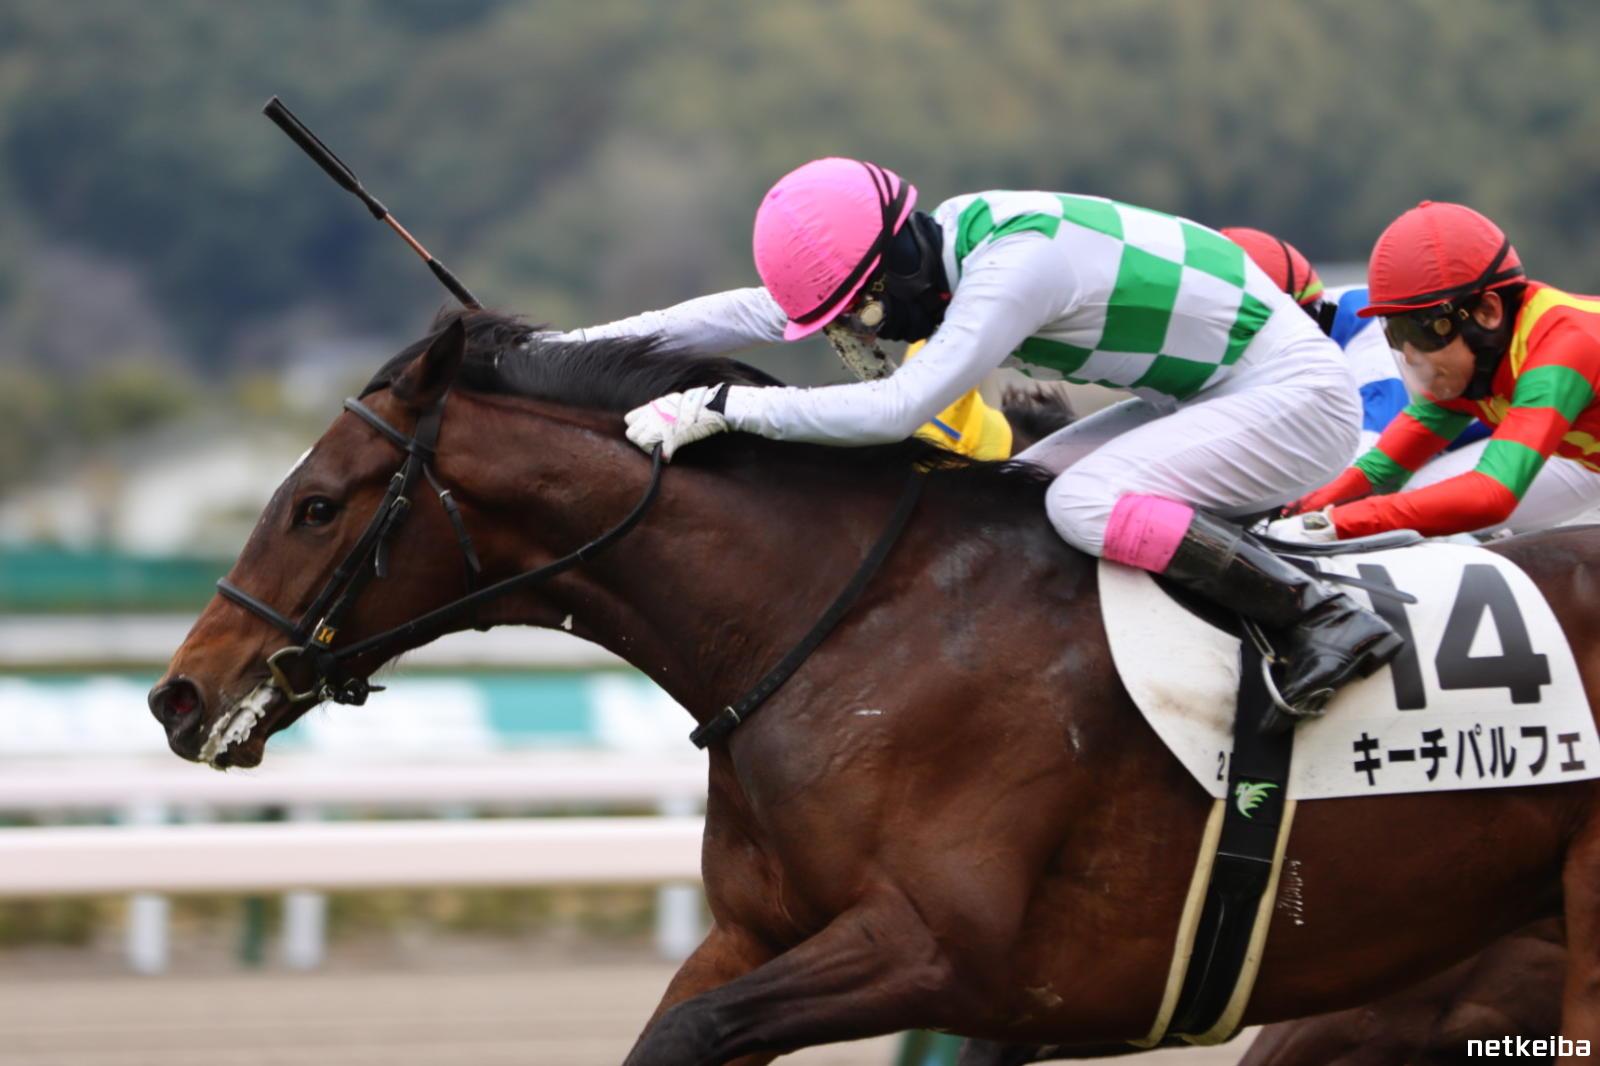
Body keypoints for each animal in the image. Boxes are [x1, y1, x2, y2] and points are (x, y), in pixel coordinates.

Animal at [149, 309, 1600, 1065]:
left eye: (318, 502)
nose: (178, 696)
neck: (845, 625)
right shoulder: (768, 935)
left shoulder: (935, 951)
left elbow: (697, 1034)